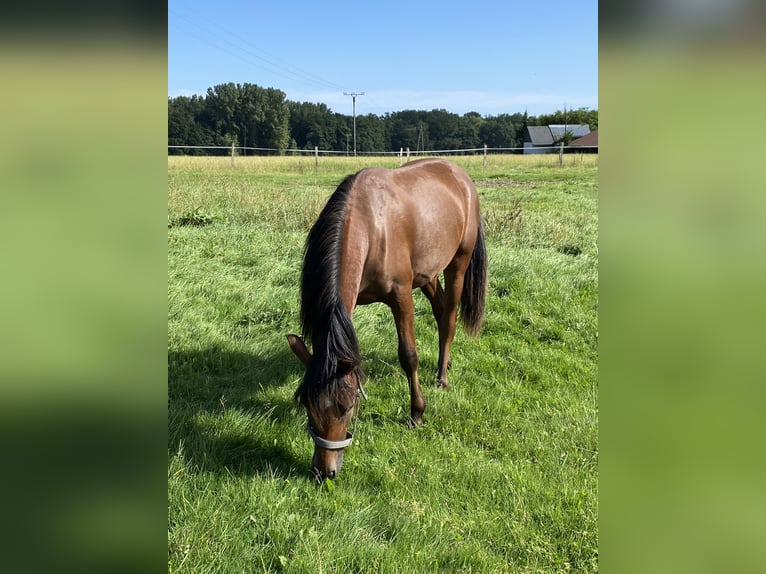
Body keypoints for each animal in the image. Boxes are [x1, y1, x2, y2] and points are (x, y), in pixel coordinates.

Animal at [288, 158, 486, 482]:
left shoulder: (401, 296)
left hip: (458, 262)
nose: (324, 471)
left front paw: (417, 413)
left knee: (449, 318)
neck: (370, 226)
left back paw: (442, 377)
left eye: (347, 407)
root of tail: (460, 175)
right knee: (440, 309)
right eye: (307, 404)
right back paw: (446, 363)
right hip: (428, 273)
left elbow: (409, 356)